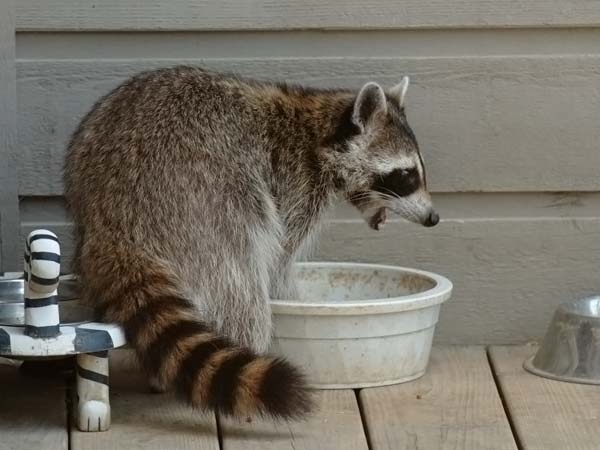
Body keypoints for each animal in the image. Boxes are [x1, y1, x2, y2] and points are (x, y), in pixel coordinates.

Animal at [63, 66, 438, 418]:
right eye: (406, 176)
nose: (433, 218)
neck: (318, 129)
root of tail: (112, 223)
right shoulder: (291, 181)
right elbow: (279, 261)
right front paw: (290, 296)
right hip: (202, 198)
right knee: (240, 285)